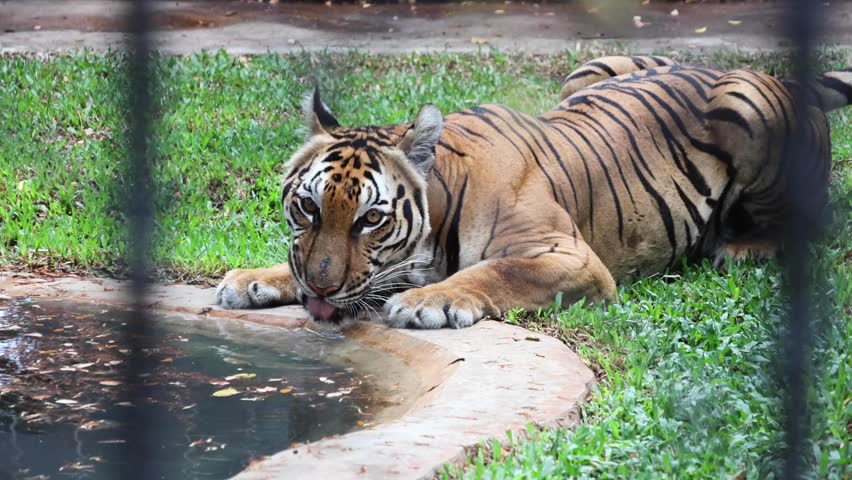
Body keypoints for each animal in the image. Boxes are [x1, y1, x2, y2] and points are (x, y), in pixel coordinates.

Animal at [216, 55, 852, 329]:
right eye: (307, 207)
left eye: (370, 220)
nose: (322, 288)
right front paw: (252, 279)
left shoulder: (571, 258)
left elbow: (494, 271)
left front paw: (428, 301)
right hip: (586, 73)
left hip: (747, 107)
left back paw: (742, 248)